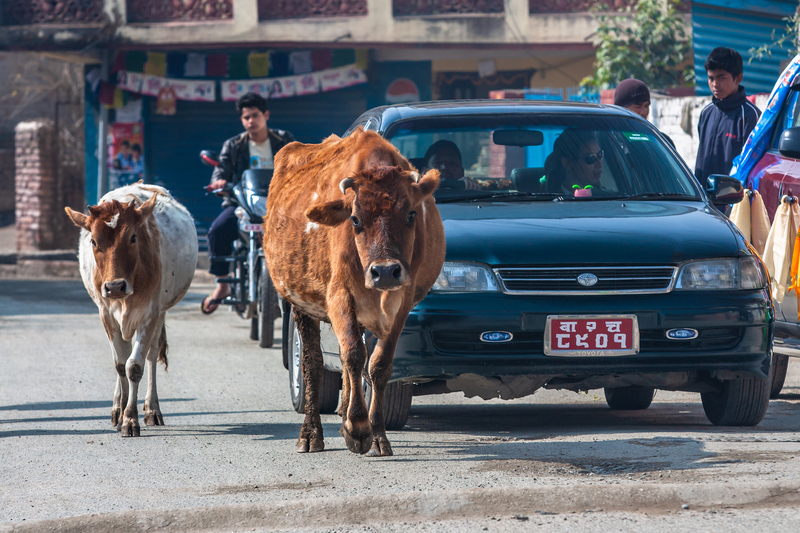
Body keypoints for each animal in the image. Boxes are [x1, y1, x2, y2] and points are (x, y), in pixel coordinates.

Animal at [266, 130, 446, 458]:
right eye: (355, 219)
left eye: (411, 214)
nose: (385, 271)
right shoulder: (339, 296)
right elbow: (353, 355)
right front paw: (359, 427)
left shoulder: (403, 303)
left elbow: (377, 364)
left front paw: (376, 434)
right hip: (301, 303)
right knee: (313, 363)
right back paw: (311, 433)